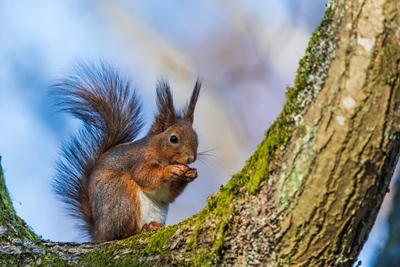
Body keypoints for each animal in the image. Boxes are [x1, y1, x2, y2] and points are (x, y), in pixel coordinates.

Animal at [52, 61, 202, 244]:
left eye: (196, 137)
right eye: (173, 139)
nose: (191, 158)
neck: (156, 152)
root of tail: (98, 234)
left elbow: (167, 195)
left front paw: (191, 174)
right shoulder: (138, 161)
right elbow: (145, 176)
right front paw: (170, 171)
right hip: (121, 196)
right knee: (120, 234)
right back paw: (142, 229)